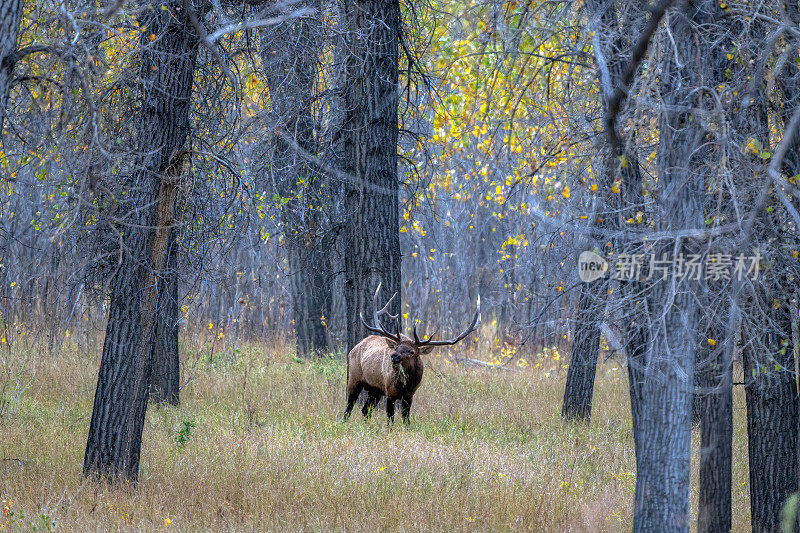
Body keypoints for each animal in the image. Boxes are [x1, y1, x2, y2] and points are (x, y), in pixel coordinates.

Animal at [346, 282, 482, 424]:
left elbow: (406, 420)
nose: (394, 357)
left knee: (365, 410)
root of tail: (353, 348)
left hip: (375, 389)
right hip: (354, 378)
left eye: (412, 352)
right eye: (396, 348)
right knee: (349, 408)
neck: (405, 384)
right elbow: (390, 419)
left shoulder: (410, 395)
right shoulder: (389, 392)